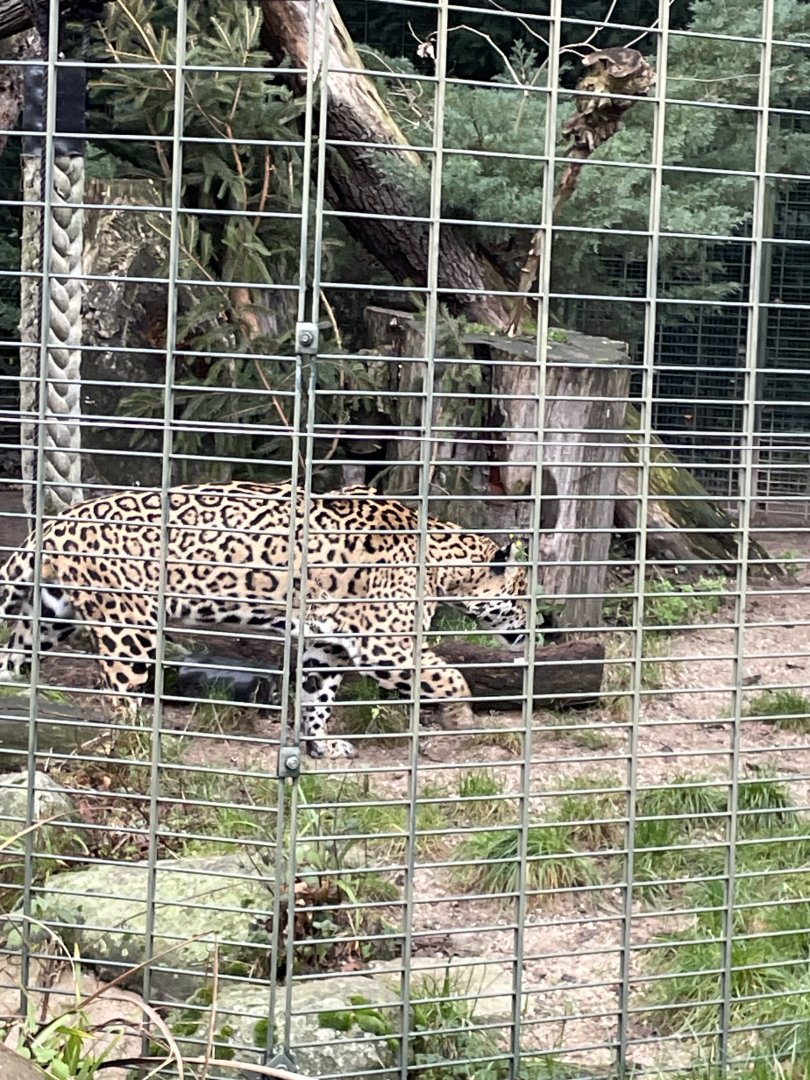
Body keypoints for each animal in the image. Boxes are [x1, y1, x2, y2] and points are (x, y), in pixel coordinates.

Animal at [0, 481, 529, 758]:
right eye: (523, 594)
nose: (538, 623)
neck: (444, 564)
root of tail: (55, 523)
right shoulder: (384, 645)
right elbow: (448, 675)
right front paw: (461, 718)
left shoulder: (327, 644)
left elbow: (317, 697)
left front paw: (320, 747)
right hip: (128, 632)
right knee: (119, 701)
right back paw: (139, 748)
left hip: (50, 617)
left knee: (11, 660)